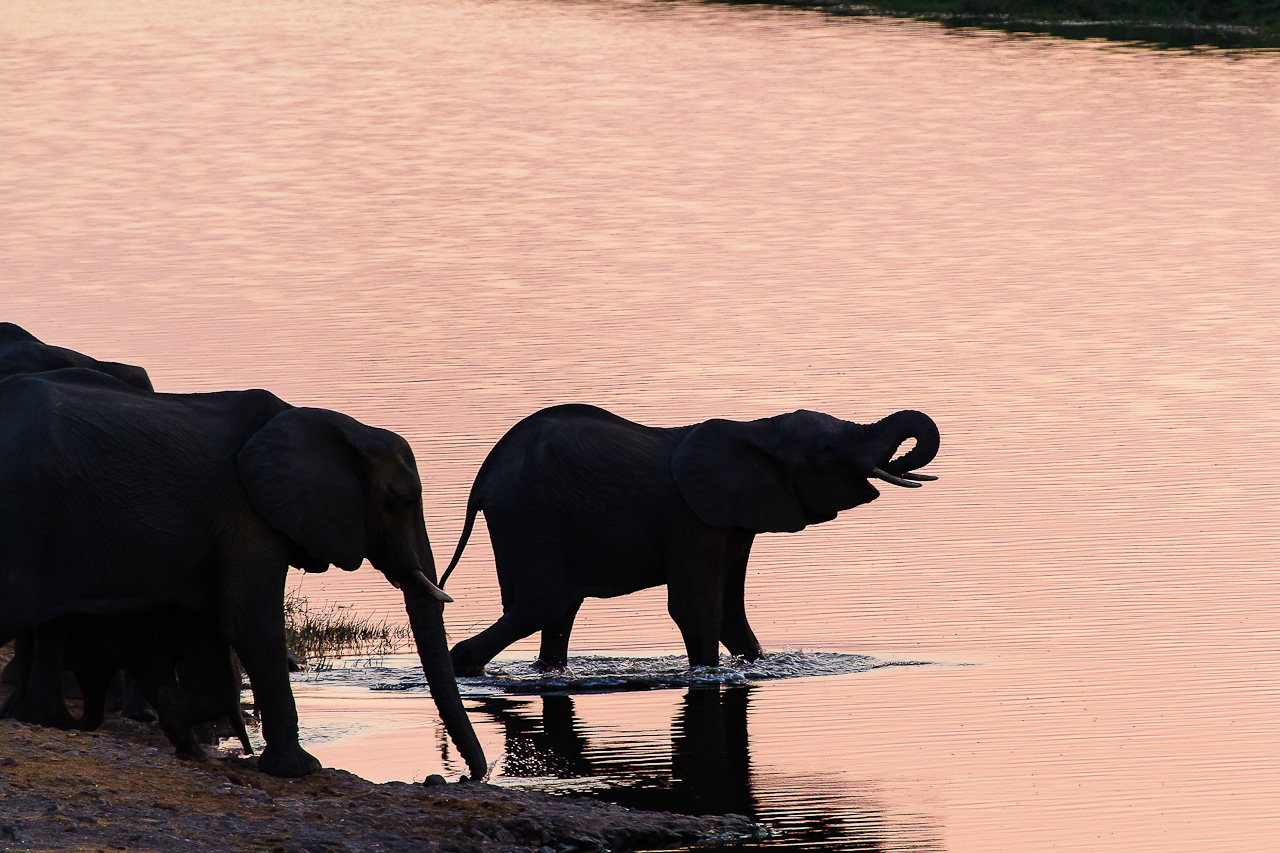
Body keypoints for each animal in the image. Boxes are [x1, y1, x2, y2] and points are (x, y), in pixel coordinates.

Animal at [0, 368, 486, 779]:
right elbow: (250, 624)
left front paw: (176, 719)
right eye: (401, 501)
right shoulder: (245, 511)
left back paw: (44, 719)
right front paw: (299, 770)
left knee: (49, 626)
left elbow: (204, 627)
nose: (461, 776)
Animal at [443, 404, 940, 674]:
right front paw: (707, 672)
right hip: (528, 515)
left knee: (560, 611)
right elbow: (695, 607)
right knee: (542, 604)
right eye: (828, 450)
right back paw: (461, 662)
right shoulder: (691, 519)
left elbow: (730, 612)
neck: (756, 428)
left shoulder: (737, 517)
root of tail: (482, 478)